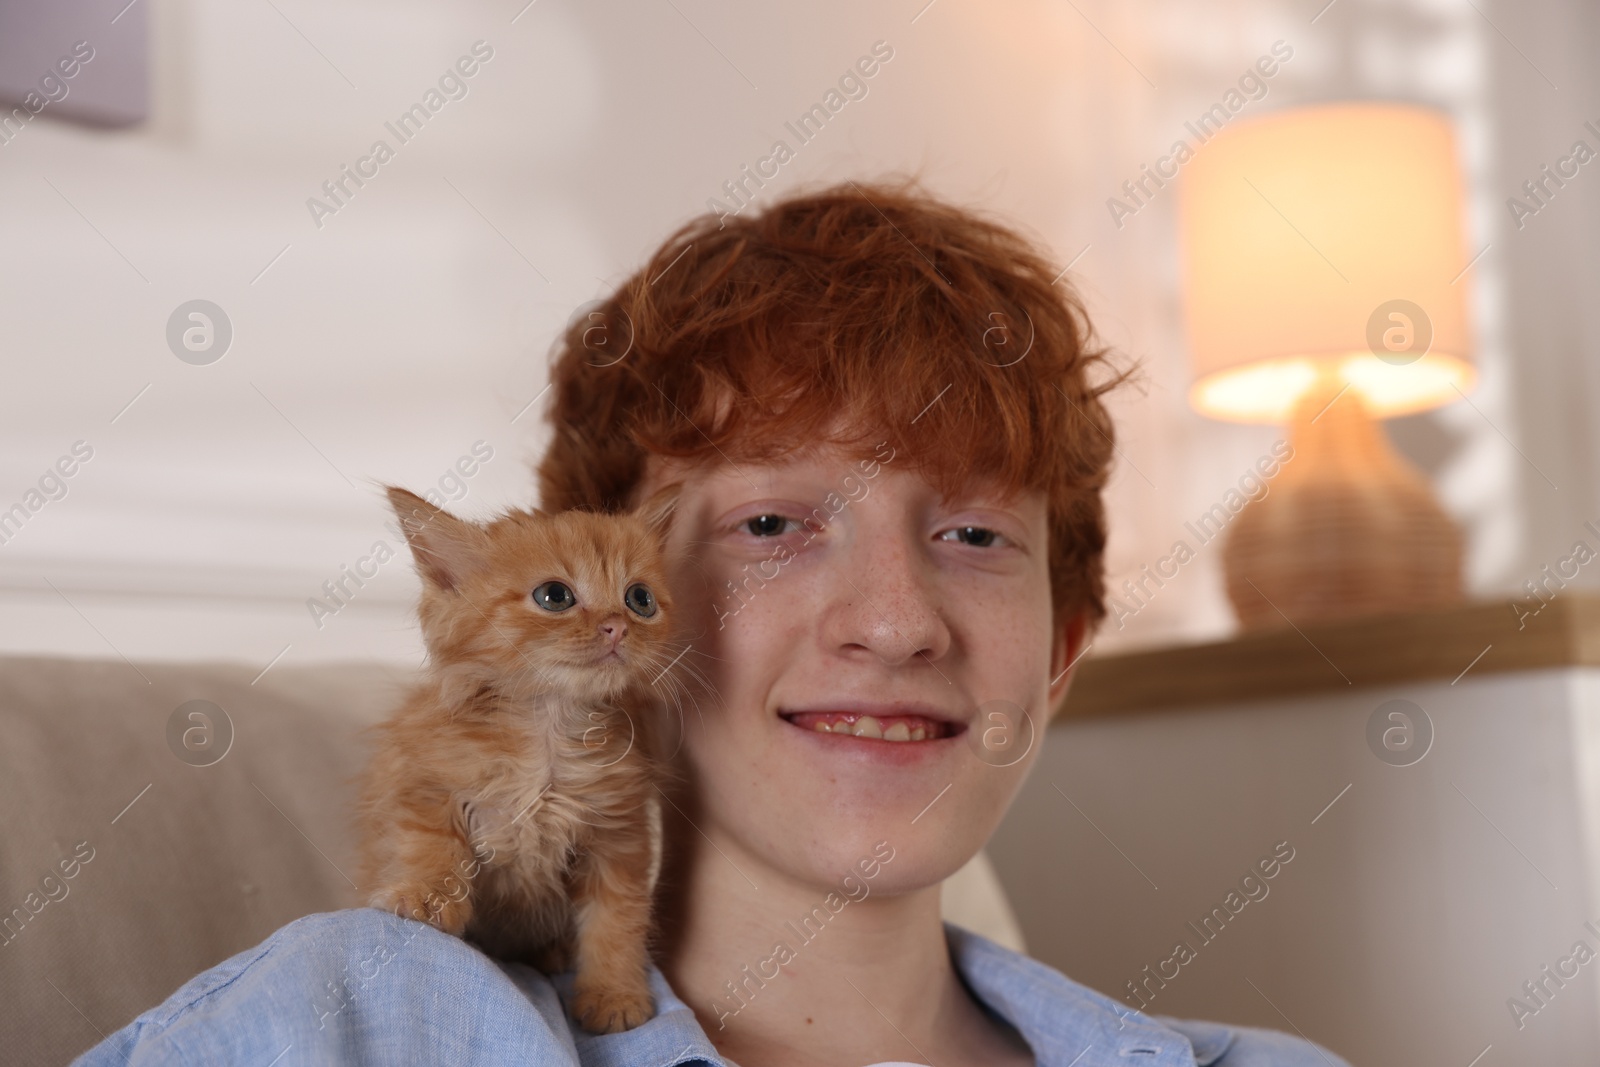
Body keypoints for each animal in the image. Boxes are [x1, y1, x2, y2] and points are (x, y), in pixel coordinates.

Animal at [360, 483, 684, 1036]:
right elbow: (431, 845)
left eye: (639, 599)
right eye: (555, 596)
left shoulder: (617, 835)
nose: (617, 627)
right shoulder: (424, 781)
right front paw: (425, 898)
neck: (548, 732)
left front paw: (613, 993)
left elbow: (615, 923)